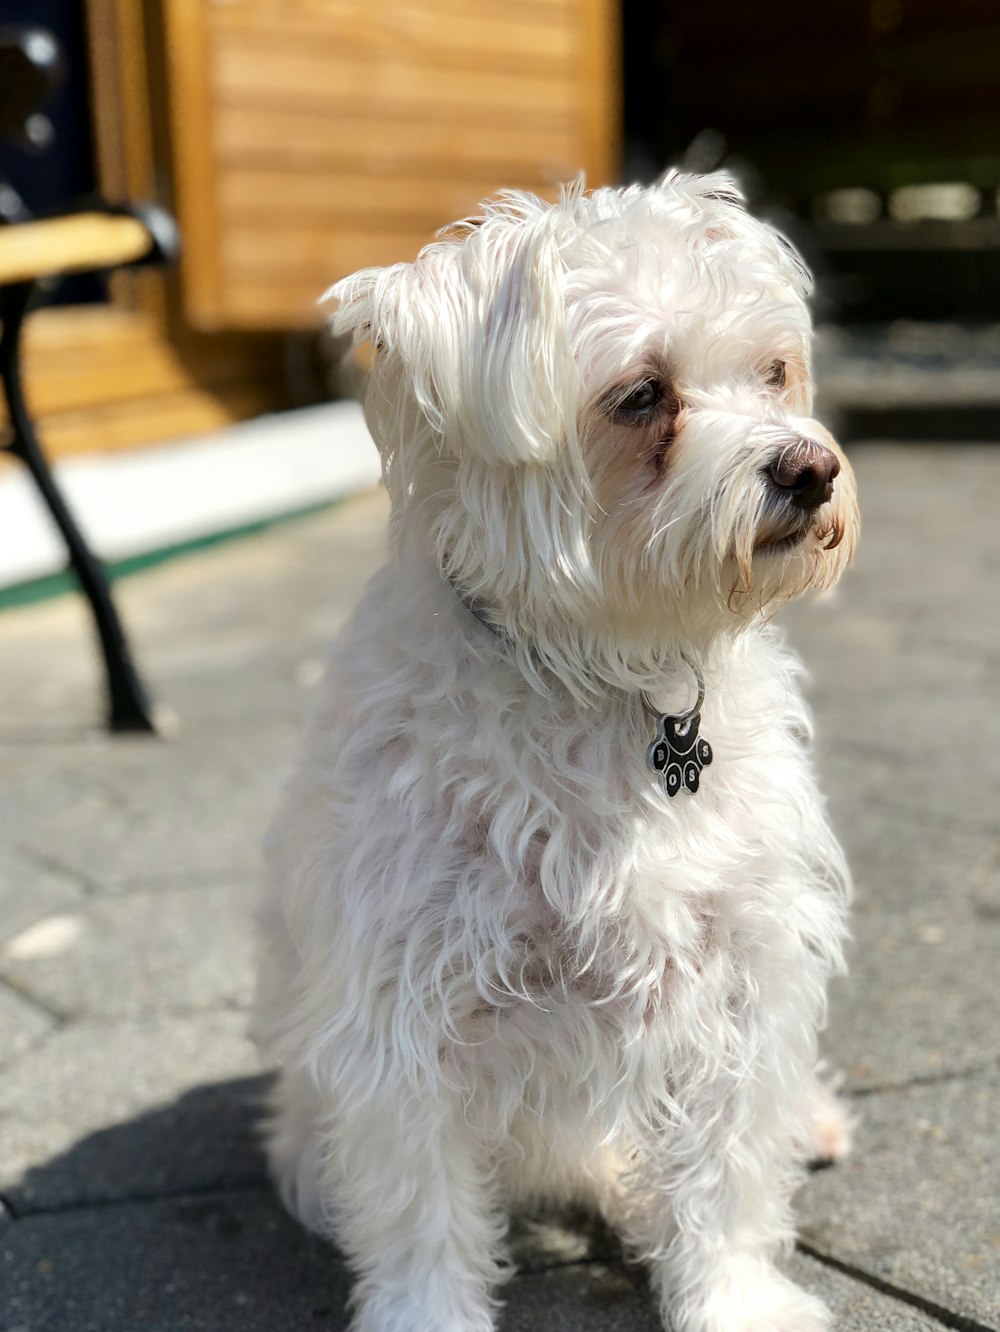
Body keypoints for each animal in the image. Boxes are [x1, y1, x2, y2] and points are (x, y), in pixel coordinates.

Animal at [255, 174, 862, 1332]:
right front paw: (426, 1315)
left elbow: (727, 1166)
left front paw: (735, 1297)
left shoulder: (740, 966)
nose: (808, 468)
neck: (621, 687)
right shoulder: (405, 1003)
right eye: (642, 395)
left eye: (772, 372)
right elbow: (421, 1210)